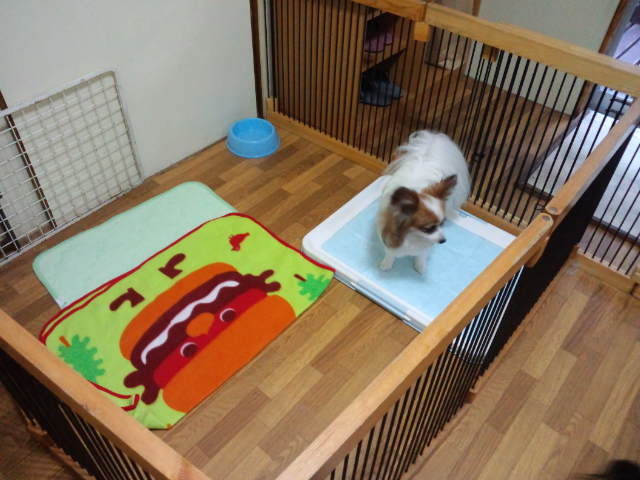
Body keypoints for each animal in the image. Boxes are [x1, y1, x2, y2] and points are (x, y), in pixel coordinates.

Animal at [377, 130, 470, 274]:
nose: (443, 240)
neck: (412, 235)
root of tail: (425, 158)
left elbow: (421, 255)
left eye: (442, 224)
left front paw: (420, 267)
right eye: (428, 228)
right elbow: (390, 253)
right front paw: (386, 264)